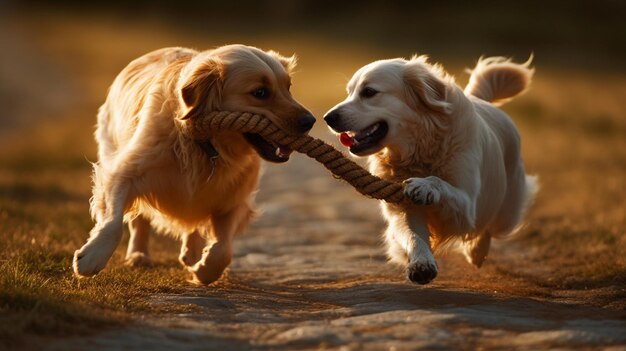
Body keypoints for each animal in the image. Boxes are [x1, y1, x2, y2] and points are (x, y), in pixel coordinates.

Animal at [72, 44, 314, 286]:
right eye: (260, 93)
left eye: (288, 87)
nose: (310, 121)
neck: (207, 145)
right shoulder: (125, 171)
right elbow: (113, 223)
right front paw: (92, 257)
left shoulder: (234, 199)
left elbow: (223, 250)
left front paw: (204, 269)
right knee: (140, 220)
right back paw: (138, 255)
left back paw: (192, 252)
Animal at [324, 56, 532, 284]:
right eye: (349, 92)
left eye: (369, 92)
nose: (327, 117)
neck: (420, 145)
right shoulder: (404, 209)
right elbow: (413, 236)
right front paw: (421, 264)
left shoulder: (467, 204)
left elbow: (439, 182)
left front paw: (424, 185)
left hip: (506, 213)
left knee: (488, 226)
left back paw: (476, 251)